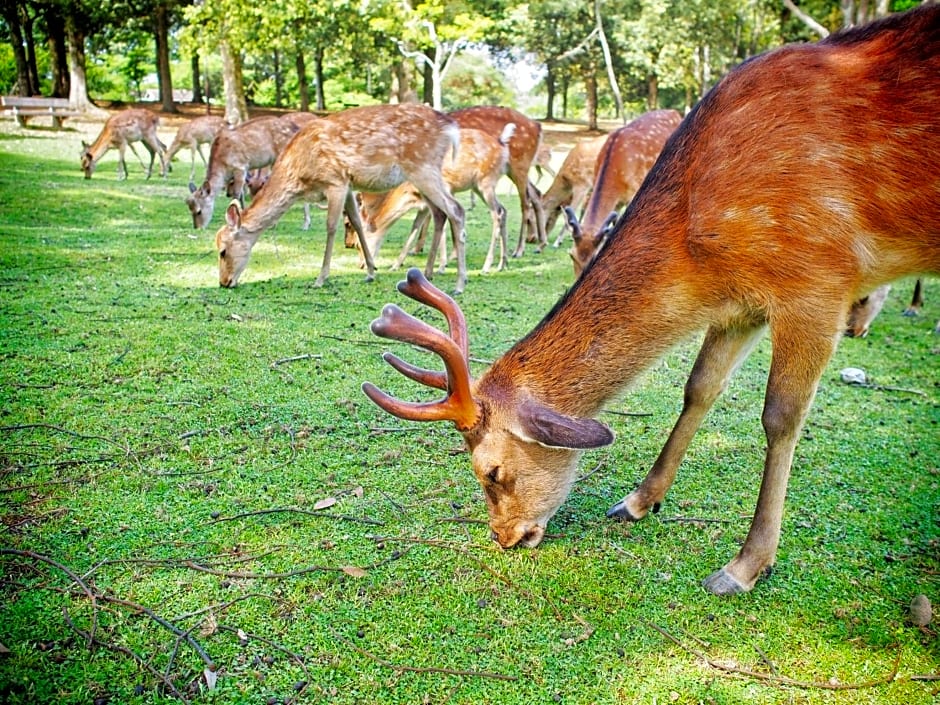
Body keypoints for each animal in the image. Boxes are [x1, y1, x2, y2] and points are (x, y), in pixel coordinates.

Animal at [213, 104, 462, 288]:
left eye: (223, 251)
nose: (224, 282)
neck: (299, 175)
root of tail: (450, 128)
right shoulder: (349, 186)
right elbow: (358, 222)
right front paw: (371, 271)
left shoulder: (335, 181)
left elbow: (331, 226)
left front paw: (320, 278)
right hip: (425, 175)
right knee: (440, 213)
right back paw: (429, 273)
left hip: (422, 167)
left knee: (456, 210)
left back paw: (459, 283)